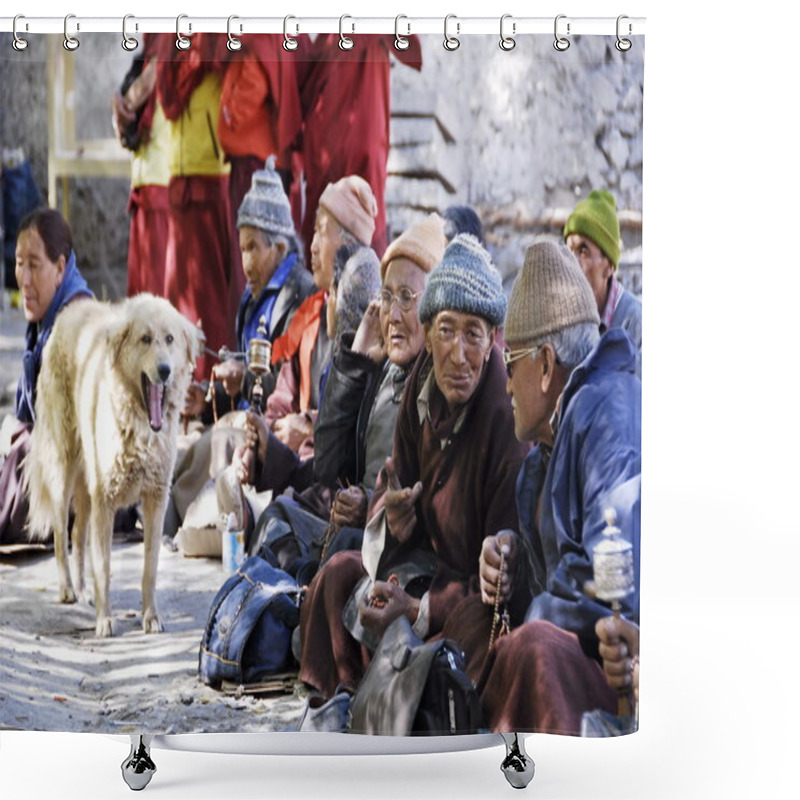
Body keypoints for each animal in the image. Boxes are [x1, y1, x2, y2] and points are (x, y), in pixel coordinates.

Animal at [26, 294, 205, 636]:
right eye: (145, 339)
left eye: (170, 339)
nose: (164, 370)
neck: (140, 428)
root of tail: (69, 311)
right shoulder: (105, 502)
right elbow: (104, 567)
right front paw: (104, 620)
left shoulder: (155, 500)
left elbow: (149, 569)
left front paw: (150, 617)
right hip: (64, 469)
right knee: (60, 532)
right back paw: (68, 589)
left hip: (86, 486)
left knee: (77, 534)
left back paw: (83, 591)